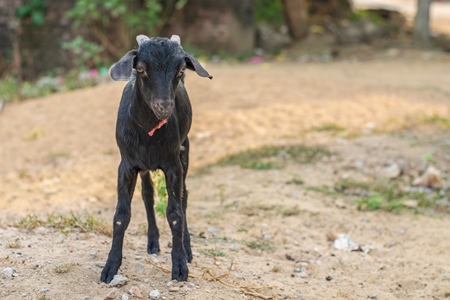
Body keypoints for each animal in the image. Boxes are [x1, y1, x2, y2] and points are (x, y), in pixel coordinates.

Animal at [102, 34, 213, 282]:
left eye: (180, 70)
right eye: (141, 69)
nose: (164, 106)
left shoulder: (173, 164)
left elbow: (175, 213)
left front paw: (180, 266)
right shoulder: (126, 165)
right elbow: (121, 214)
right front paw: (110, 267)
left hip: (185, 150)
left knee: (184, 197)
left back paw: (187, 248)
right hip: (144, 167)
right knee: (148, 195)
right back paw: (153, 242)